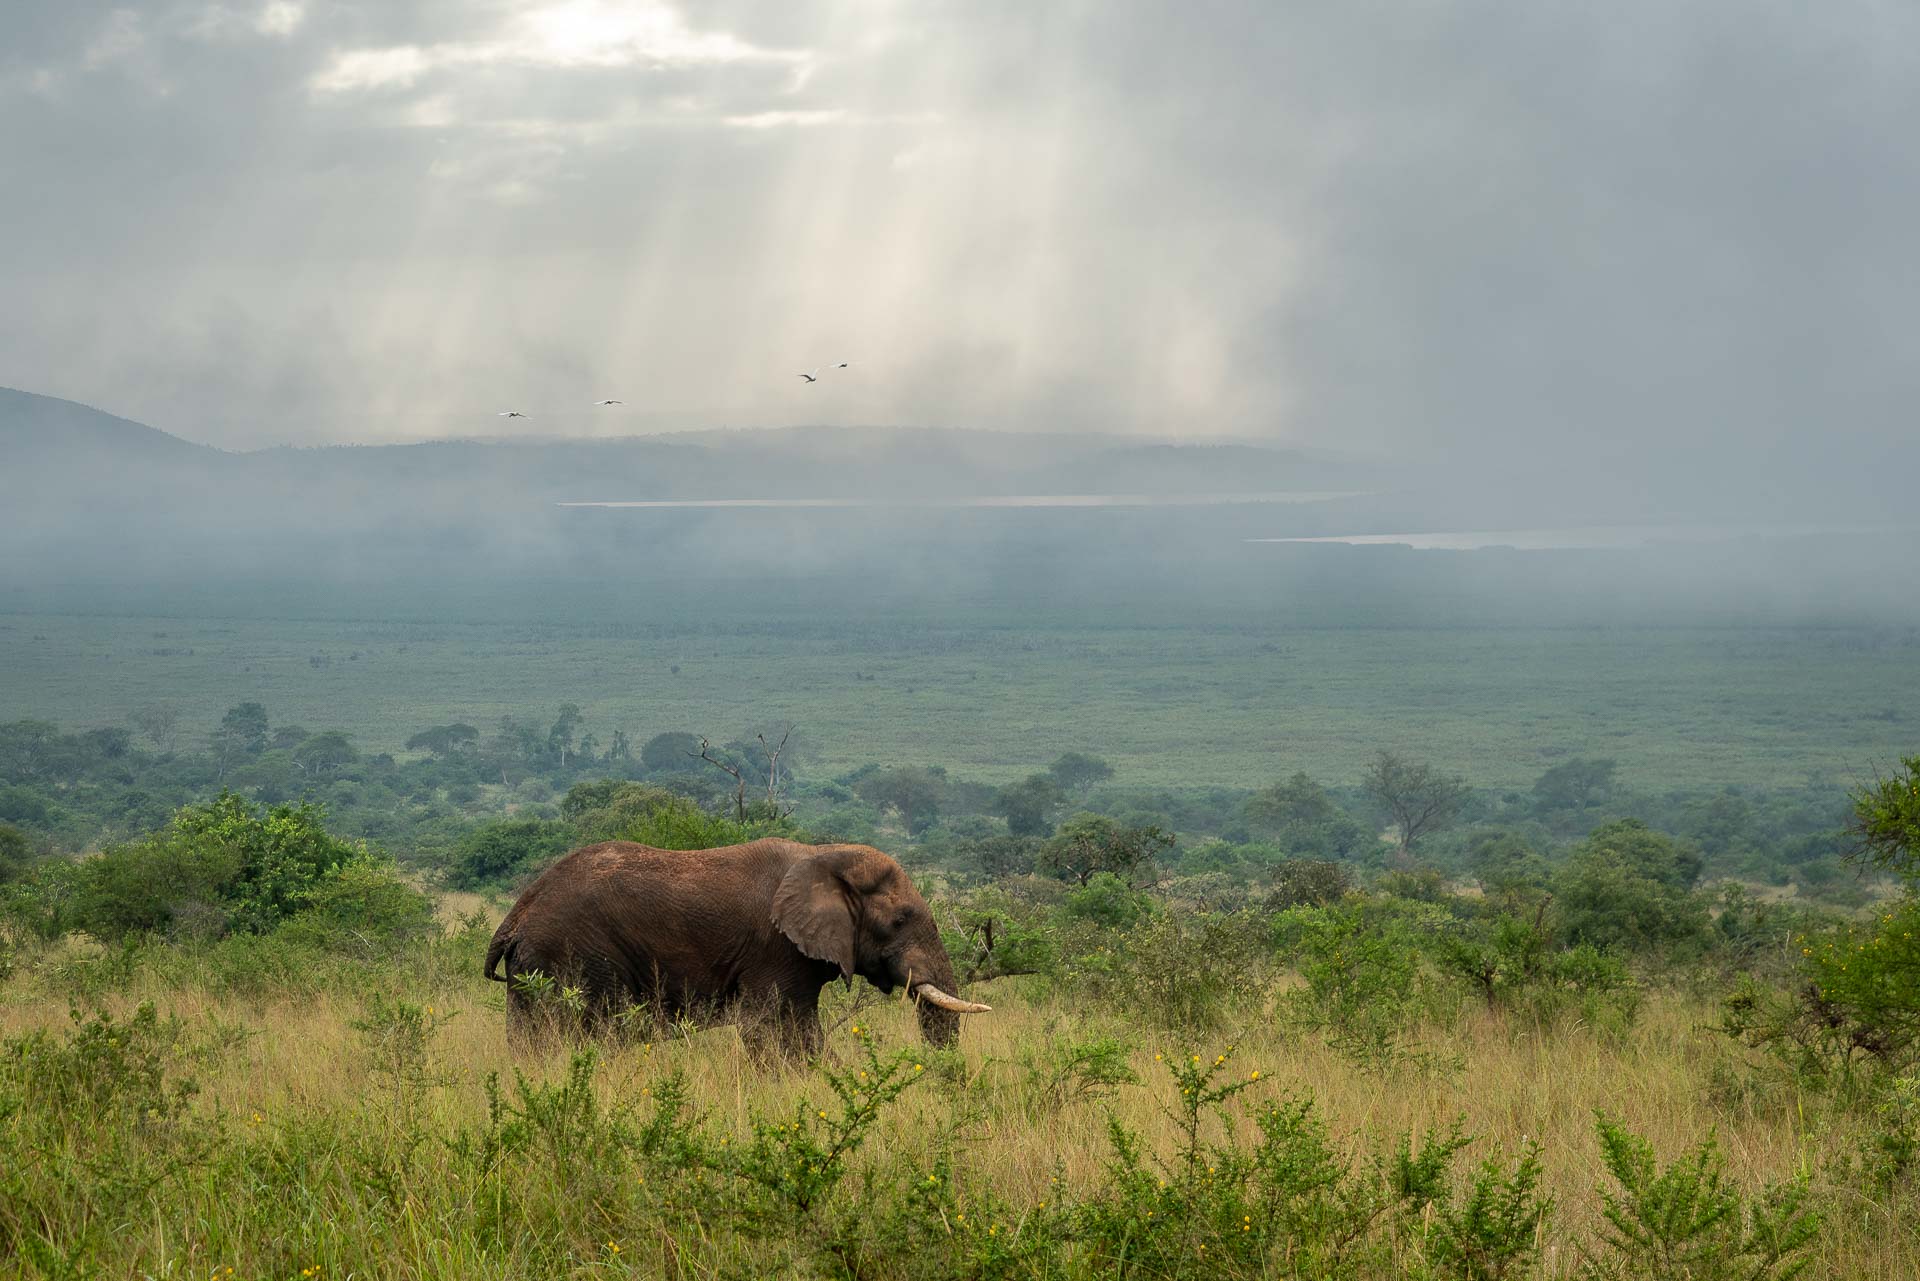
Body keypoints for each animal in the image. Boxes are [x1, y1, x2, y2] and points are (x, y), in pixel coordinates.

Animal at [483, 837, 990, 1060]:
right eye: (900, 920)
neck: (823, 854)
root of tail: (517, 913)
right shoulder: (776, 948)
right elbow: (774, 1029)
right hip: (574, 955)